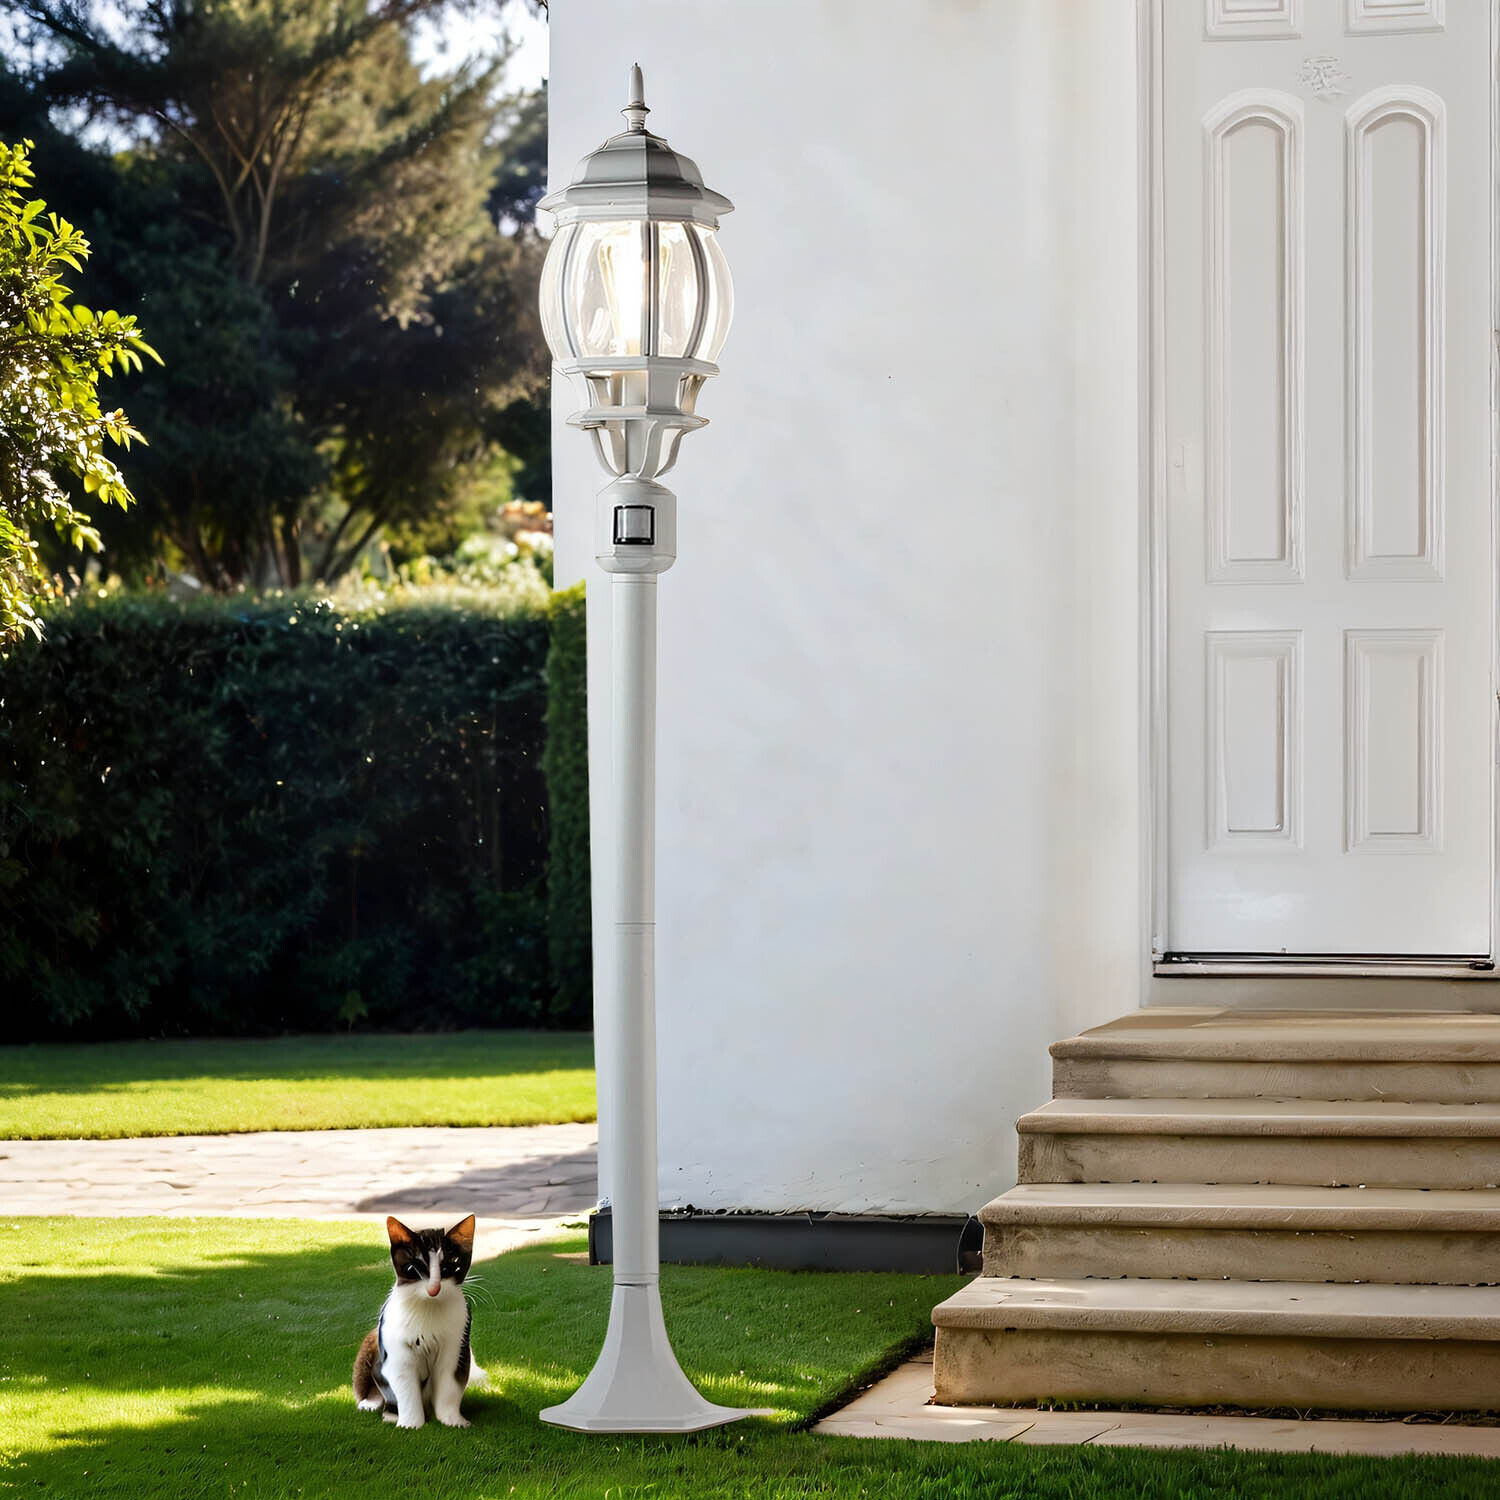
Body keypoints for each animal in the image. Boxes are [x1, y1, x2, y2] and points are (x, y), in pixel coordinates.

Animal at [348, 1206, 483, 1428]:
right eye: (415, 1267)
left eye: (452, 1263)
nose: (434, 1288)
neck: (429, 1307)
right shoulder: (398, 1350)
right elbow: (405, 1387)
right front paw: (410, 1425)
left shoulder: (457, 1344)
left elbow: (450, 1383)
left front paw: (453, 1420)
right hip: (371, 1343)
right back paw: (379, 1408)